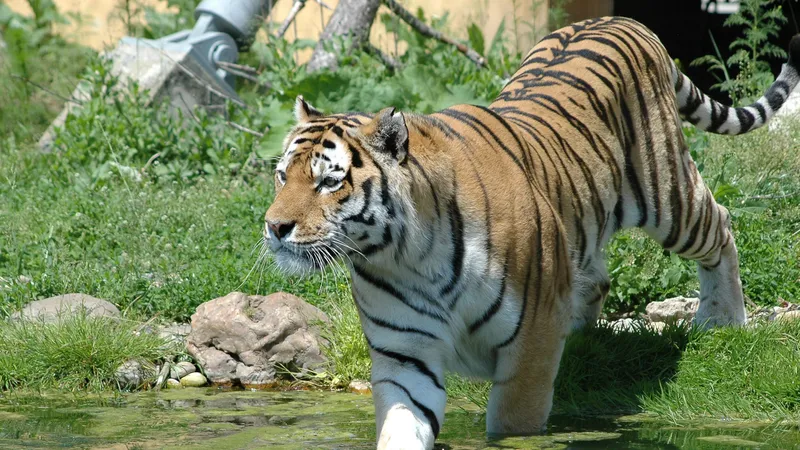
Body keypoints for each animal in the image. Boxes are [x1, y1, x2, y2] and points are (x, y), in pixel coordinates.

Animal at [264, 16, 800, 450]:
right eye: (282, 175)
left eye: (329, 180)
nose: (273, 226)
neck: (406, 255)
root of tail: (621, 18)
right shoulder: (406, 355)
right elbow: (402, 428)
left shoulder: (531, 346)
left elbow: (512, 427)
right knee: (596, 278)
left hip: (667, 197)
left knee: (721, 224)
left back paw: (722, 319)